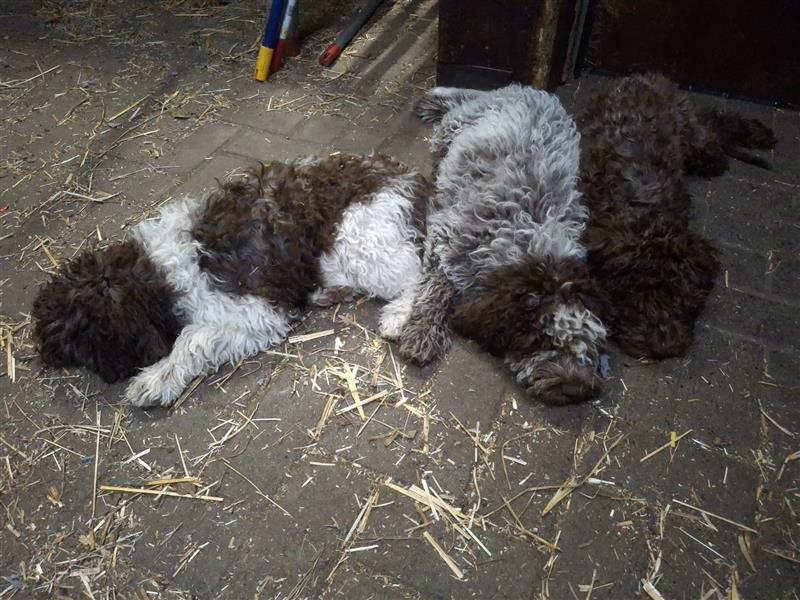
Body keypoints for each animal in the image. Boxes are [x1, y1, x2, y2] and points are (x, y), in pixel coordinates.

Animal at [33, 155, 428, 408]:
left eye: (72, 338)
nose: (43, 355)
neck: (155, 273)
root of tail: (409, 180)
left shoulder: (252, 312)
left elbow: (191, 340)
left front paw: (154, 380)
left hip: (360, 241)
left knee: (418, 273)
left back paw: (397, 317)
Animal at [394, 84, 608, 406]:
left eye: (590, 342)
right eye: (543, 338)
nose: (575, 389)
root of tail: (519, 89)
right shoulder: (447, 239)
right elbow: (434, 290)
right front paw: (422, 333)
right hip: (450, 131)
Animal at [576, 73, 776, 358]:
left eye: (682, 291)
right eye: (630, 290)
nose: (664, 348)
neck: (638, 206)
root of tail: (641, 77)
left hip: (691, 132)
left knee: (711, 127)